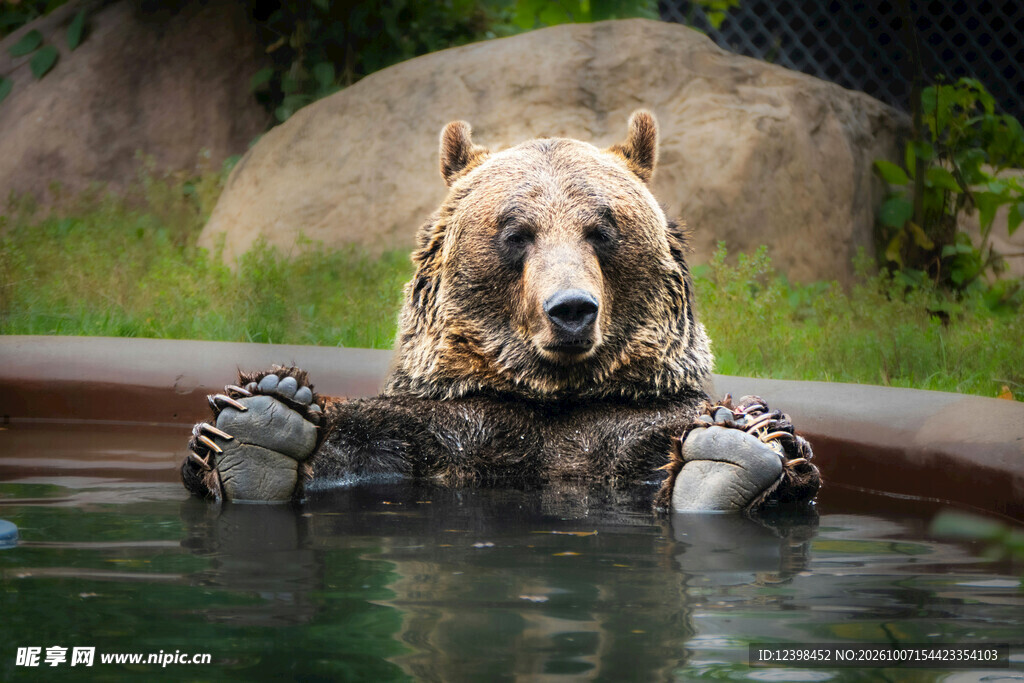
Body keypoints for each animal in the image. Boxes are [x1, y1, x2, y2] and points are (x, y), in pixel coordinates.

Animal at [181, 111, 820, 513]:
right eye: (517, 233)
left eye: (602, 231)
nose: (571, 310)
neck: (553, 397)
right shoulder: (450, 424)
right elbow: (366, 436)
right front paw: (262, 417)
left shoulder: (636, 418)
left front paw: (747, 434)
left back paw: (729, 456)